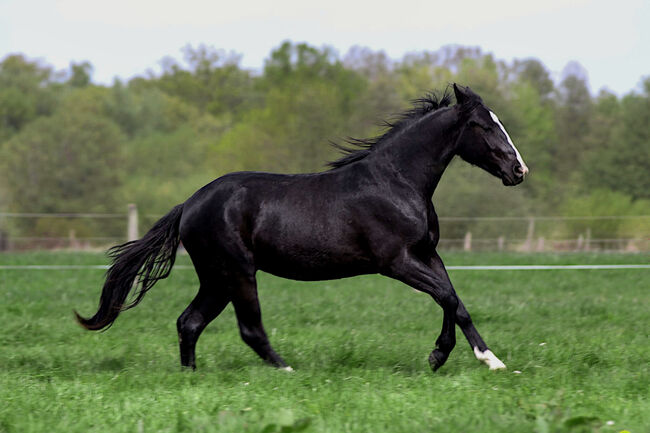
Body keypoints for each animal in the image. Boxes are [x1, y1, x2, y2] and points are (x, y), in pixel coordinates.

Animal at [76, 84, 528, 372]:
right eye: (484, 126)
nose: (519, 171)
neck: (396, 181)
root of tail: (189, 204)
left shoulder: (427, 254)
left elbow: (456, 301)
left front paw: (487, 360)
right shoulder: (397, 262)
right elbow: (447, 297)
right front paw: (445, 358)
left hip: (216, 278)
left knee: (189, 322)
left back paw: (192, 377)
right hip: (237, 272)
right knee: (249, 329)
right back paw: (287, 370)